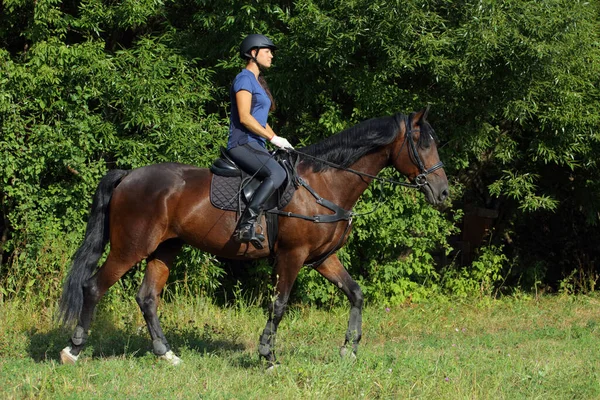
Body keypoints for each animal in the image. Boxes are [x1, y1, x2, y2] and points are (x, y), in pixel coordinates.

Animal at [58, 108, 448, 368]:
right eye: (423, 144)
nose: (443, 193)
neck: (324, 183)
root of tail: (128, 176)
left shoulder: (323, 258)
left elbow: (356, 293)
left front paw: (348, 349)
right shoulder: (293, 255)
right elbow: (279, 304)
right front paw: (268, 355)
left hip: (164, 249)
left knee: (147, 298)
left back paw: (167, 354)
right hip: (131, 247)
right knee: (94, 287)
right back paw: (73, 350)